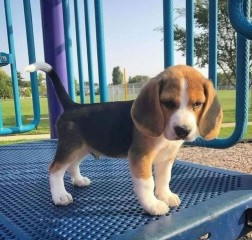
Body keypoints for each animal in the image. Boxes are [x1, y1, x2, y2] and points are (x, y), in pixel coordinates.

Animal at [26, 63, 222, 216]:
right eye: (167, 103)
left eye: (197, 104)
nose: (183, 130)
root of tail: (73, 106)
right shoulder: (140, 157)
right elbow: (147, 184)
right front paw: (153, 205)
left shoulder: (166, 158)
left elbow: (164, 179)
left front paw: (165, 195)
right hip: (69, 147)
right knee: (55, 170)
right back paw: (59, 195)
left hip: (81, 148)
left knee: (72, 166)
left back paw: (78, 180)